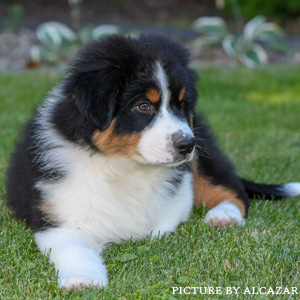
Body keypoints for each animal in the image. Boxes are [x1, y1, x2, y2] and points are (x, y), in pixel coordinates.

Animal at [6, 34, 300, 290]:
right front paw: (84, 279)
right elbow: (75, 248)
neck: (122, 165)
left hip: (205, 154)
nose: (187, 145)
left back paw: (223, 215)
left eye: (182, 104)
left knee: (232, 187)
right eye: (143, 106)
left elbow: (163, 220)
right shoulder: (57, 217)